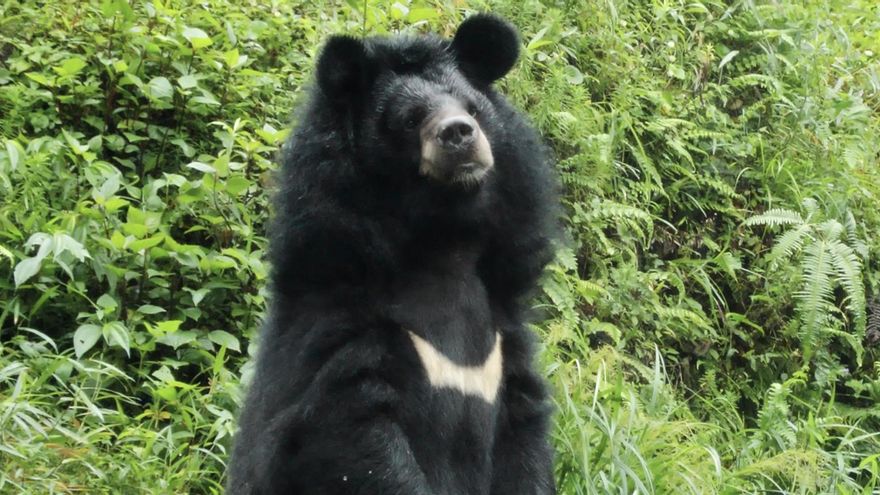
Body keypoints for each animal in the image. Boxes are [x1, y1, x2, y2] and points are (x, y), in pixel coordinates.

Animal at [227, 13, 558, 495]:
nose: (459, 132)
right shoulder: (347, 334)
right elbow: (354, 437)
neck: (445, 243)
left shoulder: (504, 349)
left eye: (473, 108)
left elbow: (524, 438)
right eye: (410, 119)